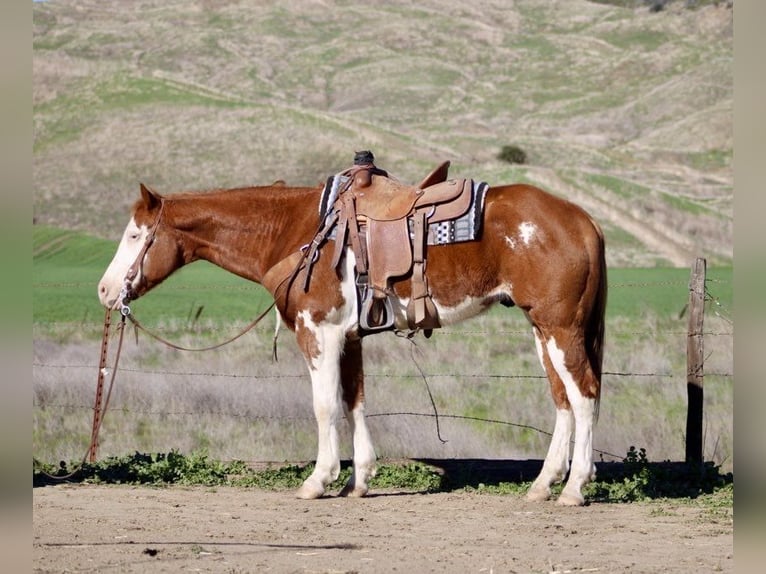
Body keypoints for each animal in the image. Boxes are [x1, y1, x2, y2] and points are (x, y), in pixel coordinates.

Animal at [99, 171, 608, 508]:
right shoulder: (351, 337)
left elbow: (324, 406)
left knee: (584, 396)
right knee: (562, 400)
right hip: (543, 330)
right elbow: (354, 402)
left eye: (134, 235)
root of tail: (584, 220)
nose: (104, 290)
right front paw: (358, 481)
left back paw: (574, 488)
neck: (300, 231)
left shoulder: (319, 332)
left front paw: (318, 480)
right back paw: (543, 485)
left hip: (561, 329)